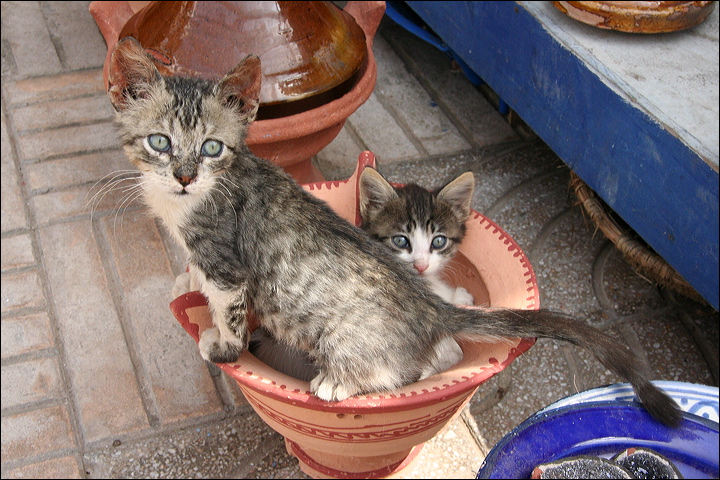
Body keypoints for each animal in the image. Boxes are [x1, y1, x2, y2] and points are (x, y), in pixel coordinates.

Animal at [107, 38, 680, 428]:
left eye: (211, 148)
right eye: (160, 142)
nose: (184, 176)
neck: (188, 203)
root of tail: (429, 304)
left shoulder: (228, 265)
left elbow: (227, 309)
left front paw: (222, 346)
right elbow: (194, 275)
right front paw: (186, 285)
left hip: (345, 337)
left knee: (409, 371)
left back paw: (336, 383)